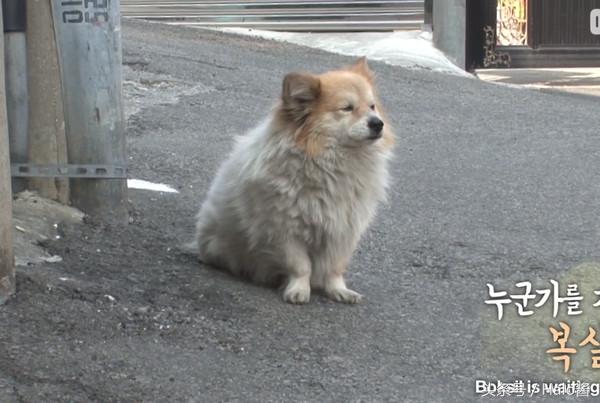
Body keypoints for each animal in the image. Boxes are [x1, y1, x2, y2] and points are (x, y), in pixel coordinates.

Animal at [192, 56, 396, 304]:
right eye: (347, 108)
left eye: (372, 106)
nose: (377, 123)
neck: (333, 163)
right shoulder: (285, 231)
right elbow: (300, 266)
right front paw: (298, 290)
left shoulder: (343, 231)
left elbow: (334, 268)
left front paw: (338, 290)